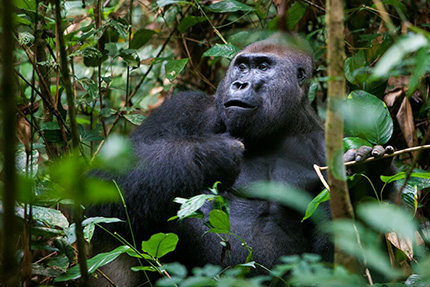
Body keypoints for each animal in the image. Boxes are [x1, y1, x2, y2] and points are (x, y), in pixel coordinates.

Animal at [86, 35, 330, 286]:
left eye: (263, 67)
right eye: (242, 67)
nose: (240, 84)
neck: (279, 130)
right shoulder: (185, 107)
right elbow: (108, 177)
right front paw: (211, 155)